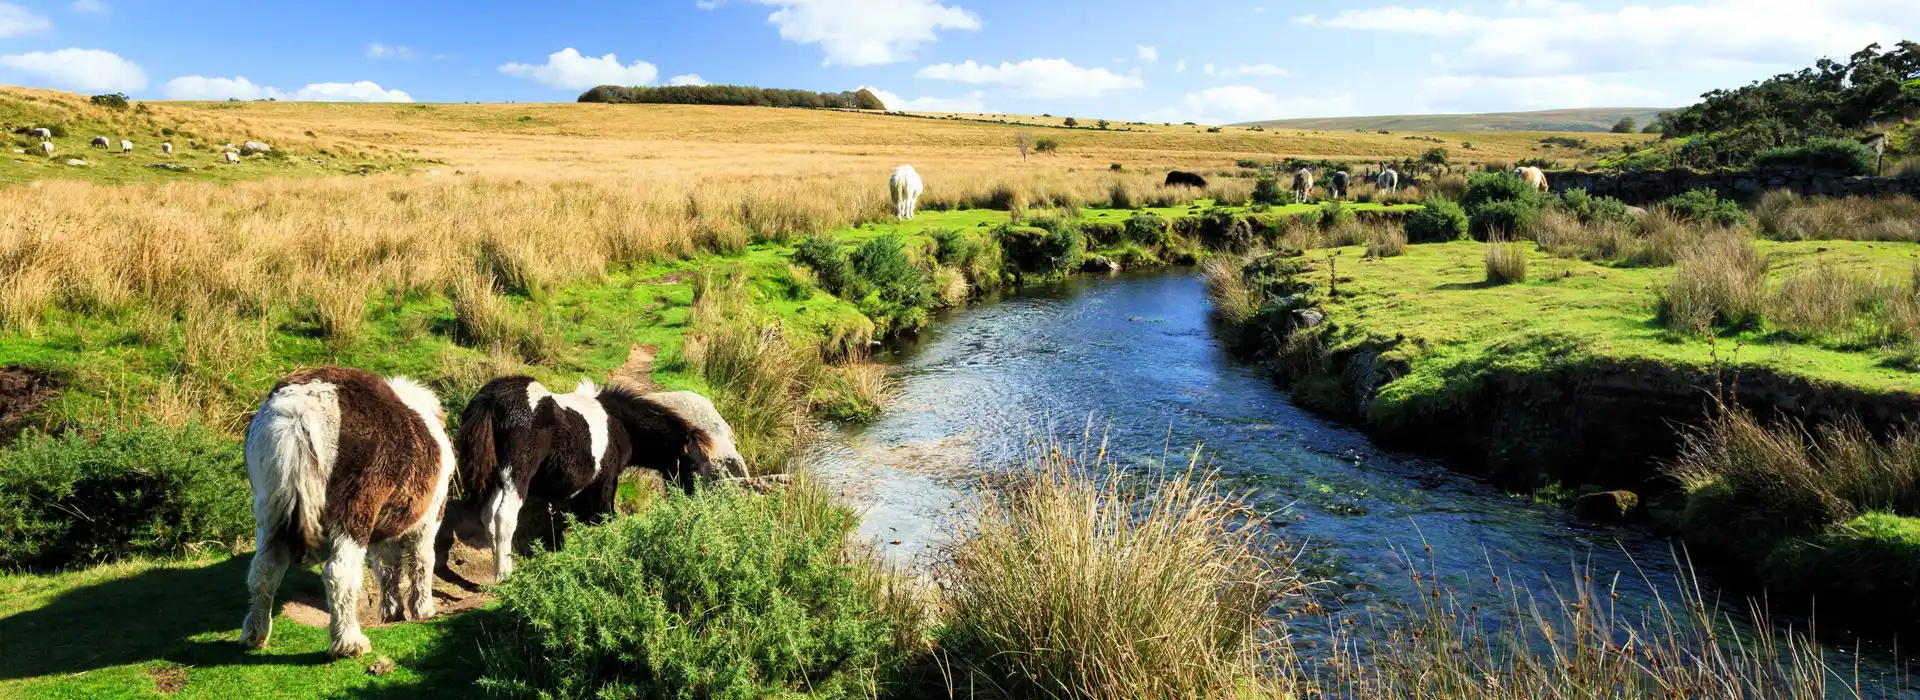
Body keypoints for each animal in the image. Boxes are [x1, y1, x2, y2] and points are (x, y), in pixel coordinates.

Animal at [239, 368, 456, 655]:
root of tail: (301, 407)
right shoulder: (429, 520)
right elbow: (422, 561)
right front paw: (422, 609)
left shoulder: (382, 529)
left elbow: (387, 567)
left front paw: (392, 611)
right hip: (353, 514)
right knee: (340, 574)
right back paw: (349, 642)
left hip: (269, 512)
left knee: (264, 570)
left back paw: (255, 634)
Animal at [449, 375, 721, 579]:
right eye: (693, 463)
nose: (699, 498)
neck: (619, 423)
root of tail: (491, 398)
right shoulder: (606, 481)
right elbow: (605, 517)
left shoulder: (585, 488)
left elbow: (584, 520)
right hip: (516, 475)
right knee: (504, 517)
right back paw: (505, 576)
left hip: (495, 478)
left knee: (487, 516)